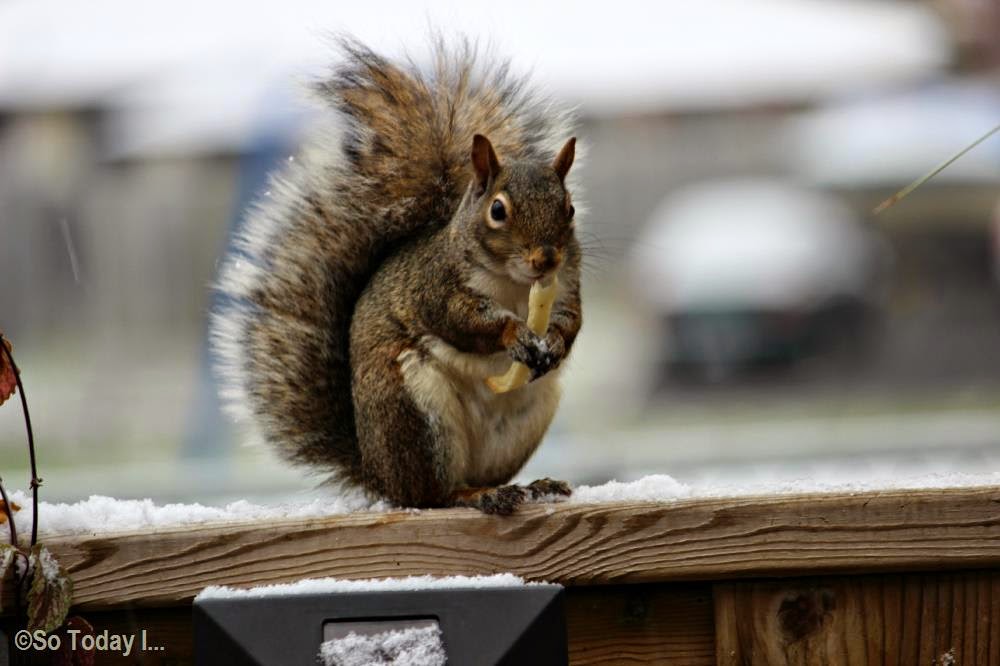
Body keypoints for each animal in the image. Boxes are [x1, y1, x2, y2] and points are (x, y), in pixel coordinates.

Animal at [211, 39, 582, 515]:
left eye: (569, 208)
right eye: (498, 210)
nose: (546, 259)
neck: (514, 284)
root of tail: (377, 474)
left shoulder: (567, 285)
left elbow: (573, 321)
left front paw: (553, 342)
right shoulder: (435, 285)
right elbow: (463, 321)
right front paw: (513, 334)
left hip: (524, 417)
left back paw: (531, 486)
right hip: (415, 413)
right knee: (433, 494)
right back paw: (474, 494)